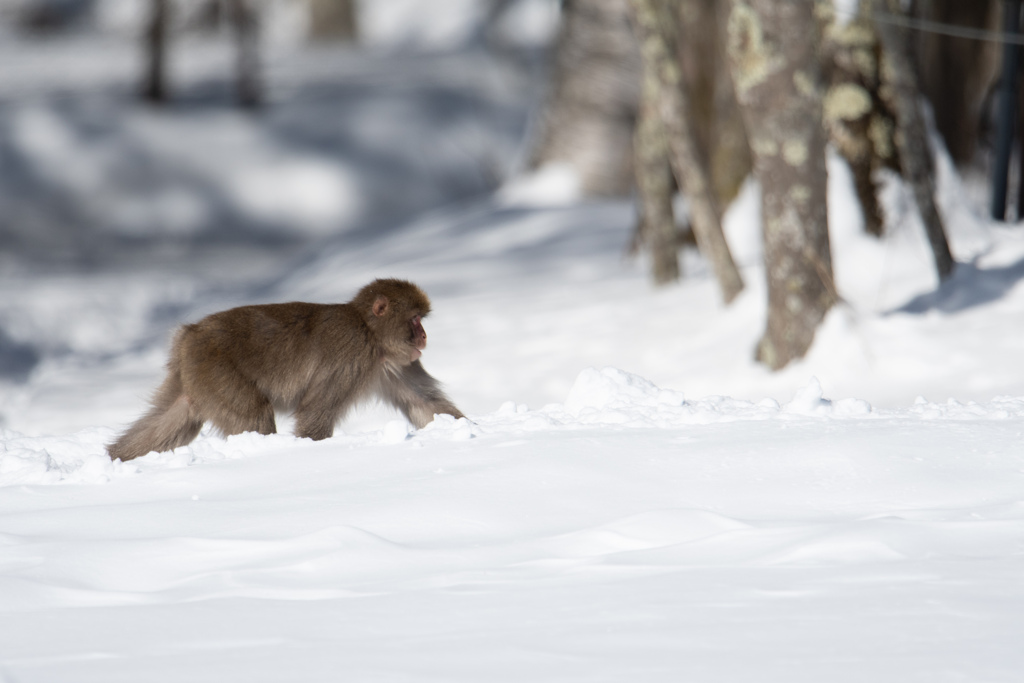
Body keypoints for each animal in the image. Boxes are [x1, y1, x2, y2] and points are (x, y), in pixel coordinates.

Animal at [107, 276, 464, 458]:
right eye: (415, 319)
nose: (424, 335)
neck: (370, 332)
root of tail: (189, 334)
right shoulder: (352, 355)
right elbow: (315, 412)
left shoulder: (396, 363)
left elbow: (425, 404)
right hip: (216, 370)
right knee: (253, 417)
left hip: (194, 376)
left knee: (177, 417)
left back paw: (115, 456)